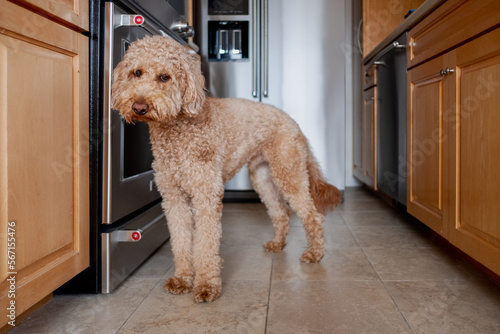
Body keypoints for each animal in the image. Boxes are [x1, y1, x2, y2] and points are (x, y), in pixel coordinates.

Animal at [112, 35, 342, 302]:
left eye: (164, 77)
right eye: (136, 72)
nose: (139, 107)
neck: (178, 130)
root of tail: (294, 123)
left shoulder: (206, 195)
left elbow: (205, 243)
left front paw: (206, 285)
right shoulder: (174, 198)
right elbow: (181, 241)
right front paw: (182, 279)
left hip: (289, 172)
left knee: (312, 216)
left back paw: (315, 254)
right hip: (262, 178)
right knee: (281, 212)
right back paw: (277, 244)